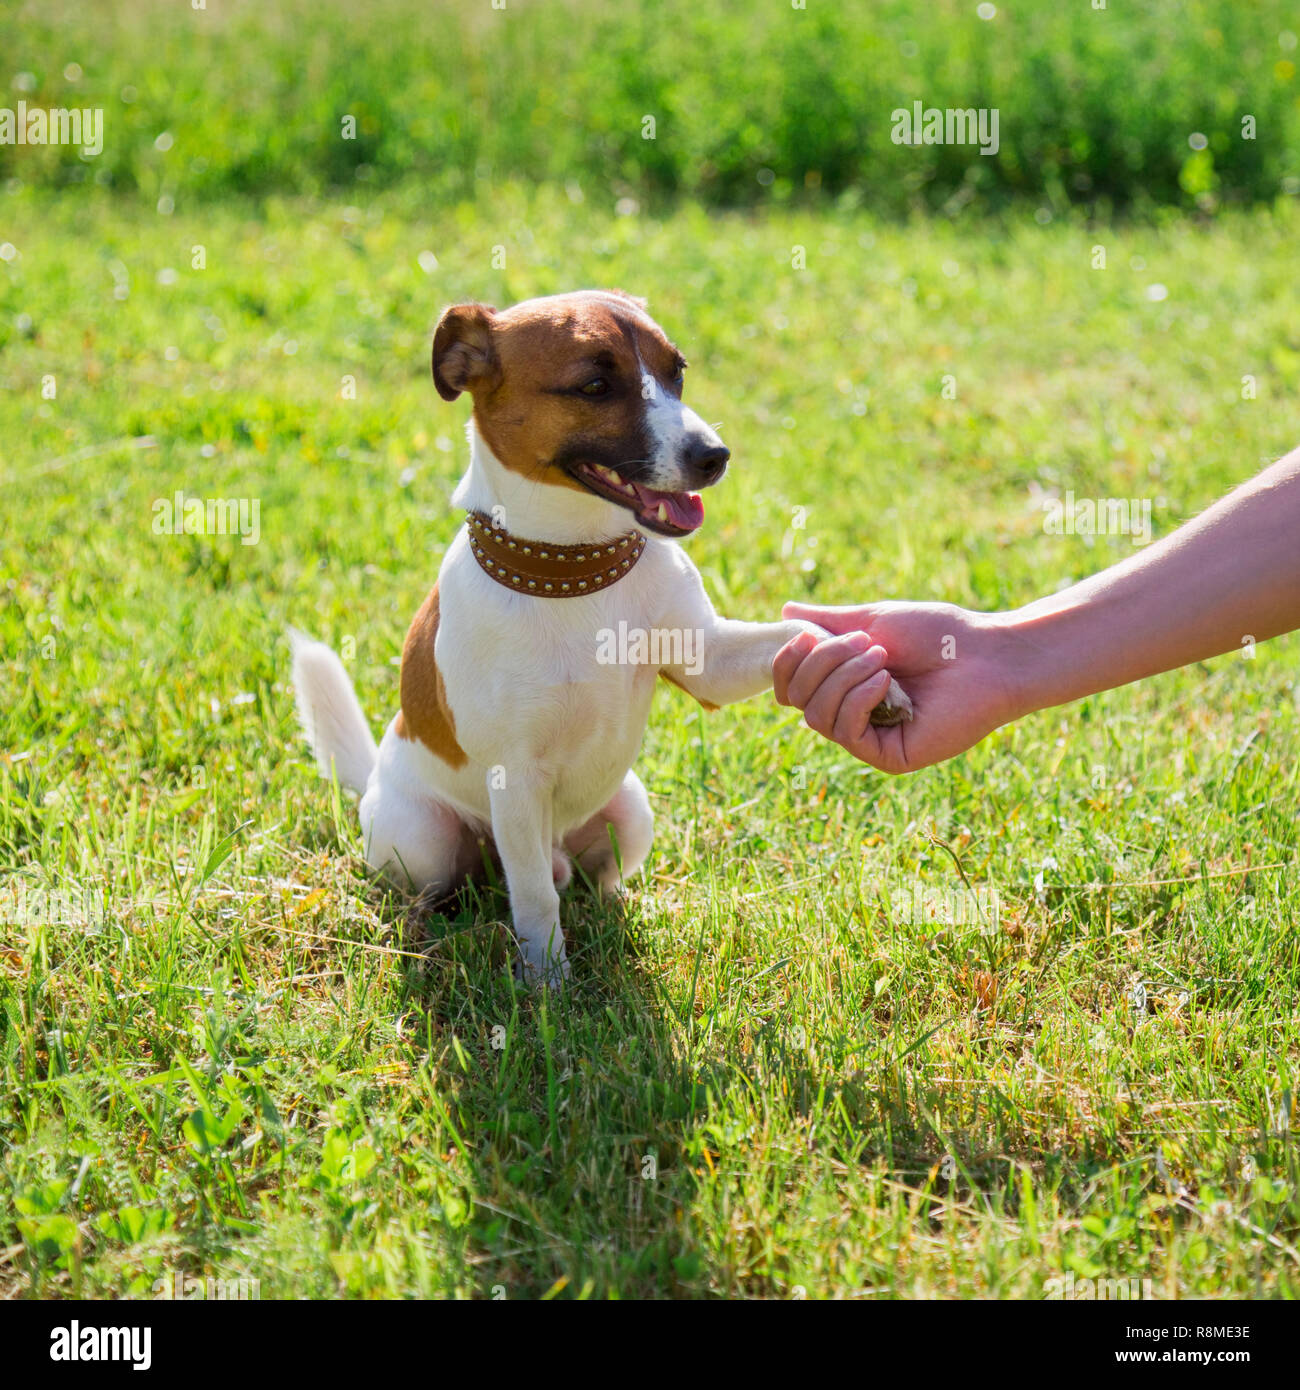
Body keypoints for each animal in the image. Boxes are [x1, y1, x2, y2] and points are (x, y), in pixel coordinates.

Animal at [289, 287, 912, 984]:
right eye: (593, 386)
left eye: (677, 372)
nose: (714, 456)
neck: (576, 568)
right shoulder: (516, 779)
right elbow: (533, 896)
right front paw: (548, 983)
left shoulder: (709, 660)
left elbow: (797, 634)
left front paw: (869, 676)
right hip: (426, 837)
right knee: (475, 882)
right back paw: (430, 926)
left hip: (630, 811)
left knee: (588, 881)